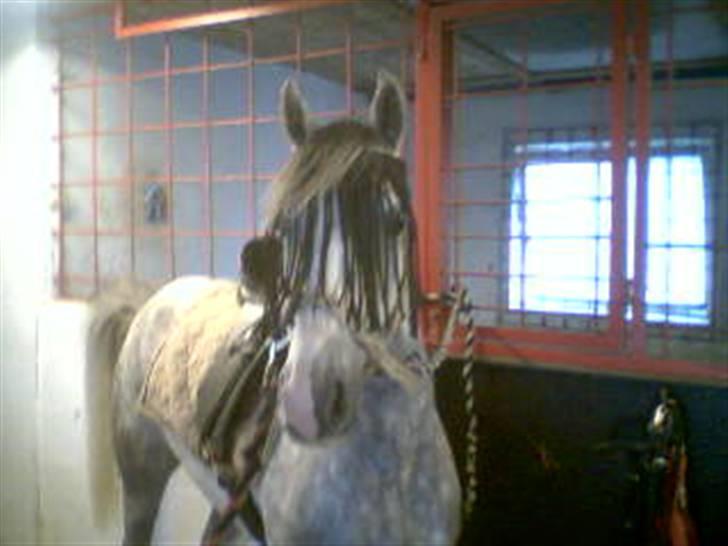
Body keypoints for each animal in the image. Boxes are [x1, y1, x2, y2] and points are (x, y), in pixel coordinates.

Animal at [86, 73, 461, 545]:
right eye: (284, 233)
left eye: (392, 223)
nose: (308, 400)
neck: (393, 462)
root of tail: (153, 300)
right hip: (141, 480)